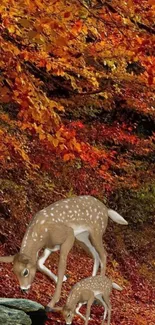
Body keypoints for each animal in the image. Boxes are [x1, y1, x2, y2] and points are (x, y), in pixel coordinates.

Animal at [0, 194, 128, 308]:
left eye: (25, 272)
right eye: (14, 271)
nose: (23, 289)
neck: (42, 234)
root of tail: (106, 210)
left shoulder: (68, 236)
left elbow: (61, 268)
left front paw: (52, 302)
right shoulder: (50, 246)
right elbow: (39, 263)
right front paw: (58, 279)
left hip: (96, 232)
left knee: (103, 255)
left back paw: (97, 296)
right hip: (82, 236)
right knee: (95, 255)